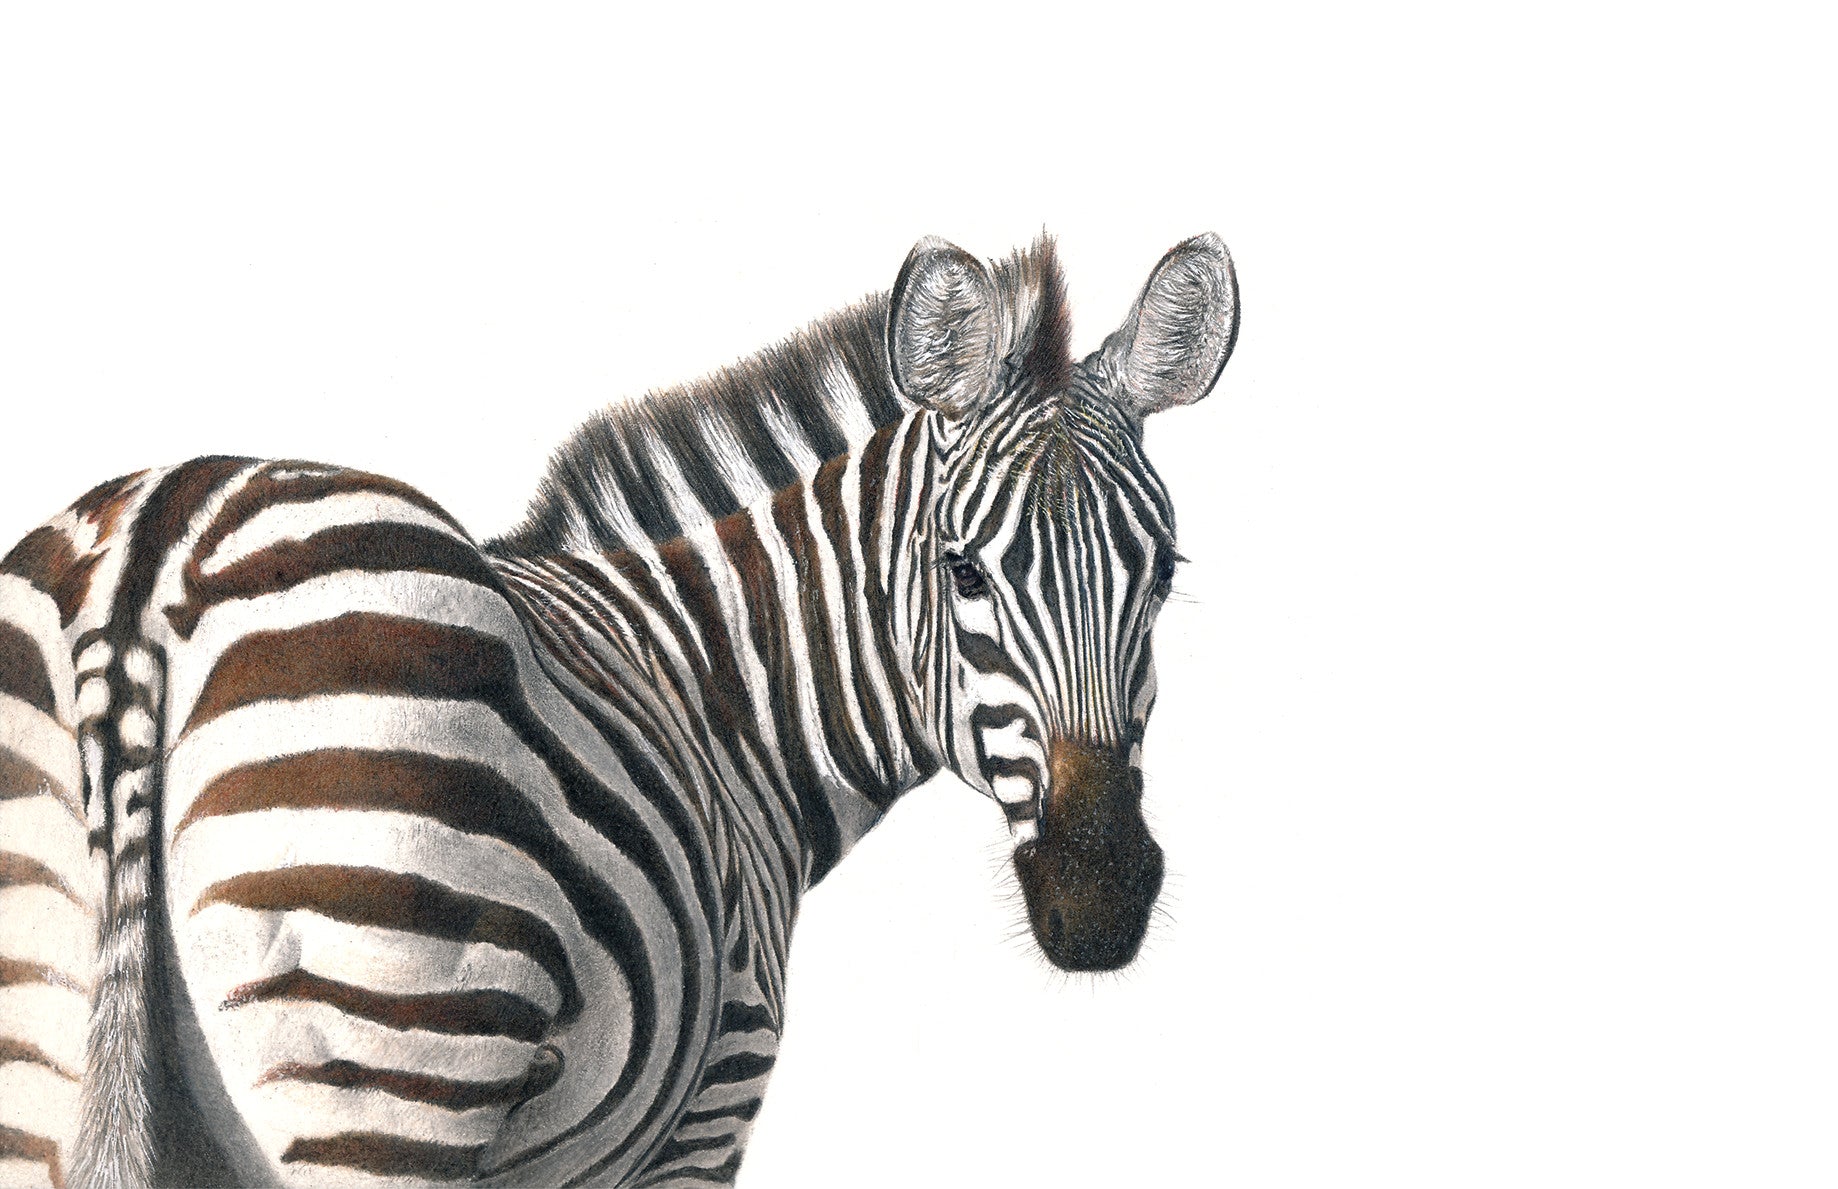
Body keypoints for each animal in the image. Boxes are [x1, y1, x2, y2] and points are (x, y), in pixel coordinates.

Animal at [0, 231, 1238, 1188]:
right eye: (964, 572)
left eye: (1161, 572)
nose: (1101, 894)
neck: (725, 696)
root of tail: (149, 550)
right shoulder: (712, 1101)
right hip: (383, 1057)